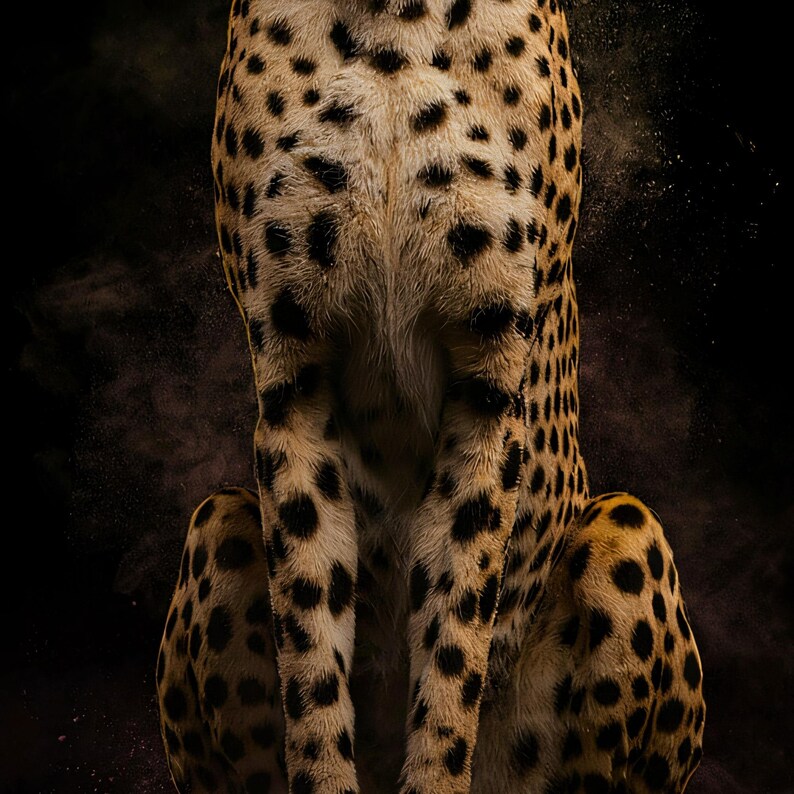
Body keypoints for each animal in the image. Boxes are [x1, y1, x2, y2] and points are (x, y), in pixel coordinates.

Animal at [156, 1, 706, 792]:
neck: (394, 28)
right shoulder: (293, 384)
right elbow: (310, 647)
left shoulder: (489, 391)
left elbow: (452, 645)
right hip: (218, 520)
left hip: (628, 527)